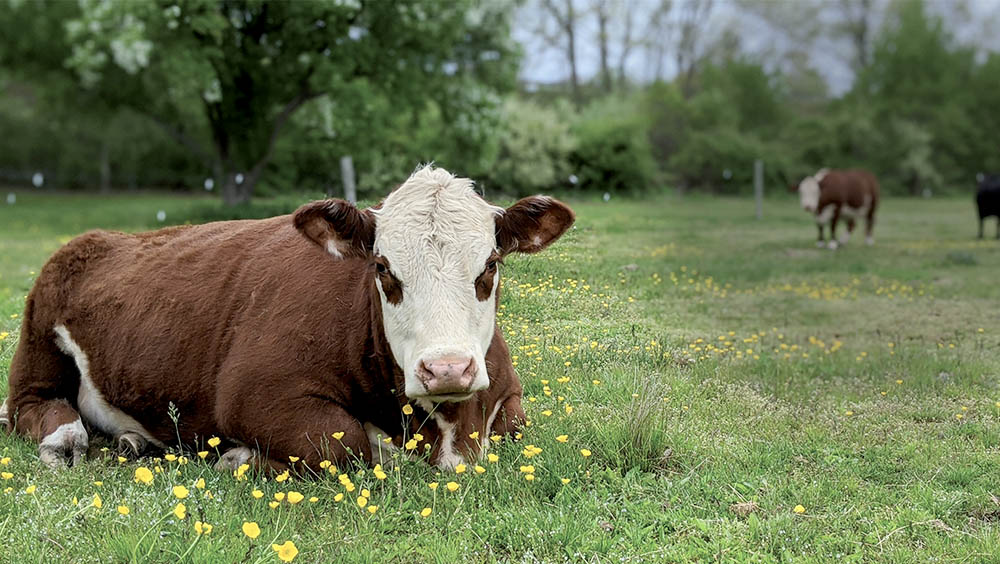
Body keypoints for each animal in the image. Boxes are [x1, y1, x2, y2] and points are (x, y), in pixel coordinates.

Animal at [0, 166, 575, 473]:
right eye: (382, 267)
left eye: (491, 264)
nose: (448, 369)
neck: (451, 428)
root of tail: (97, 238)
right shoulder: (254, 392)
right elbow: (345, 444)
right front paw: (239, 457)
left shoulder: (508, 399)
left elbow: (515, 424)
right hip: (38, 344)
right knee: (33, 407)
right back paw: (66, 438)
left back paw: (133, 439)